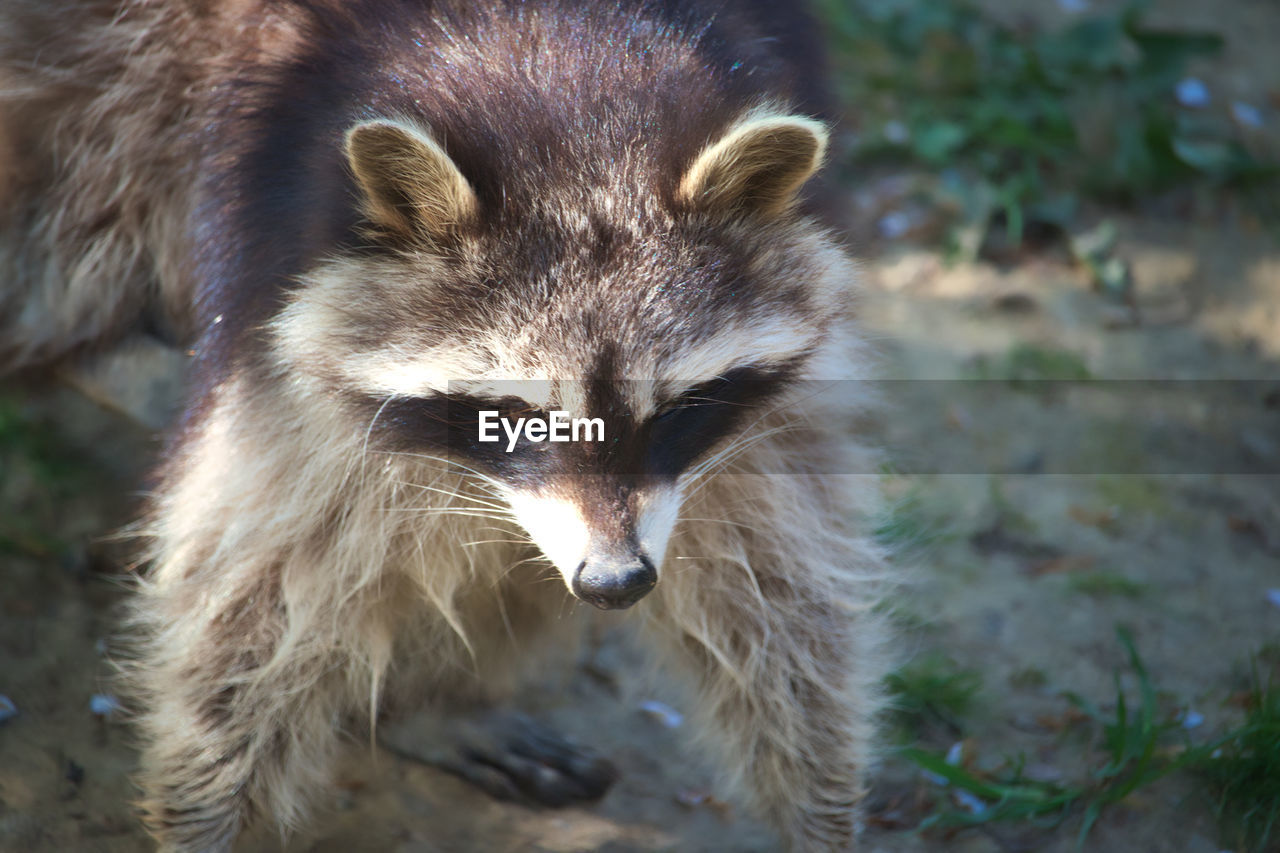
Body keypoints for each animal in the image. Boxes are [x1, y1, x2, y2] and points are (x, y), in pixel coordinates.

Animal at [0, 0, 890, 845]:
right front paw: (204, 813)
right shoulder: (280, 281)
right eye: (521, 417)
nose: (615, 581)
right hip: (97, 79)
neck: (574, 98)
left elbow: (779, 580)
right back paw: (101, 358)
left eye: (676, 410)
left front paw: (820, 813)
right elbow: (263, 577)